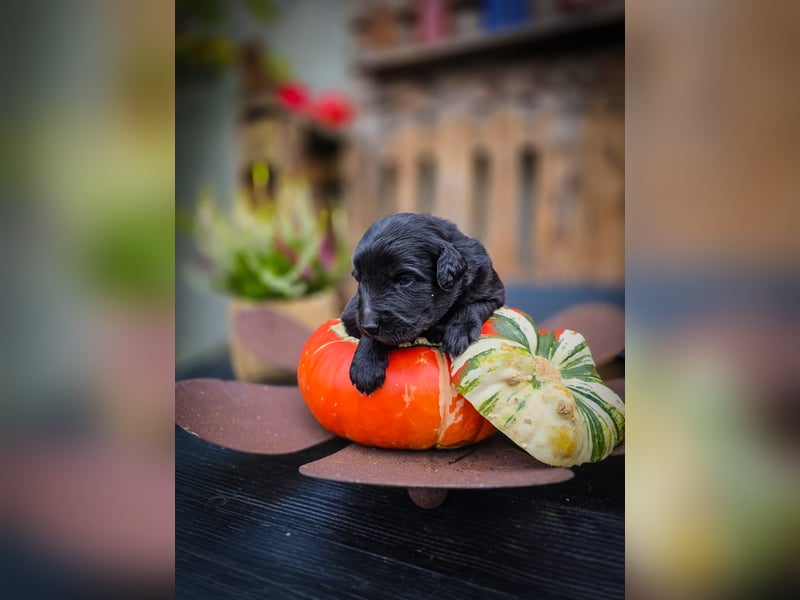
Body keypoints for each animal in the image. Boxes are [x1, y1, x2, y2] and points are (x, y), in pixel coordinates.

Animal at [340, 213, 504, 396]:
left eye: (404, 280)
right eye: (360, 280)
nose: (369, 325)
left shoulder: (492, 290)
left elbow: (474, 306)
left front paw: (459, 332)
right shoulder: (353, 314)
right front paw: (366, 365)